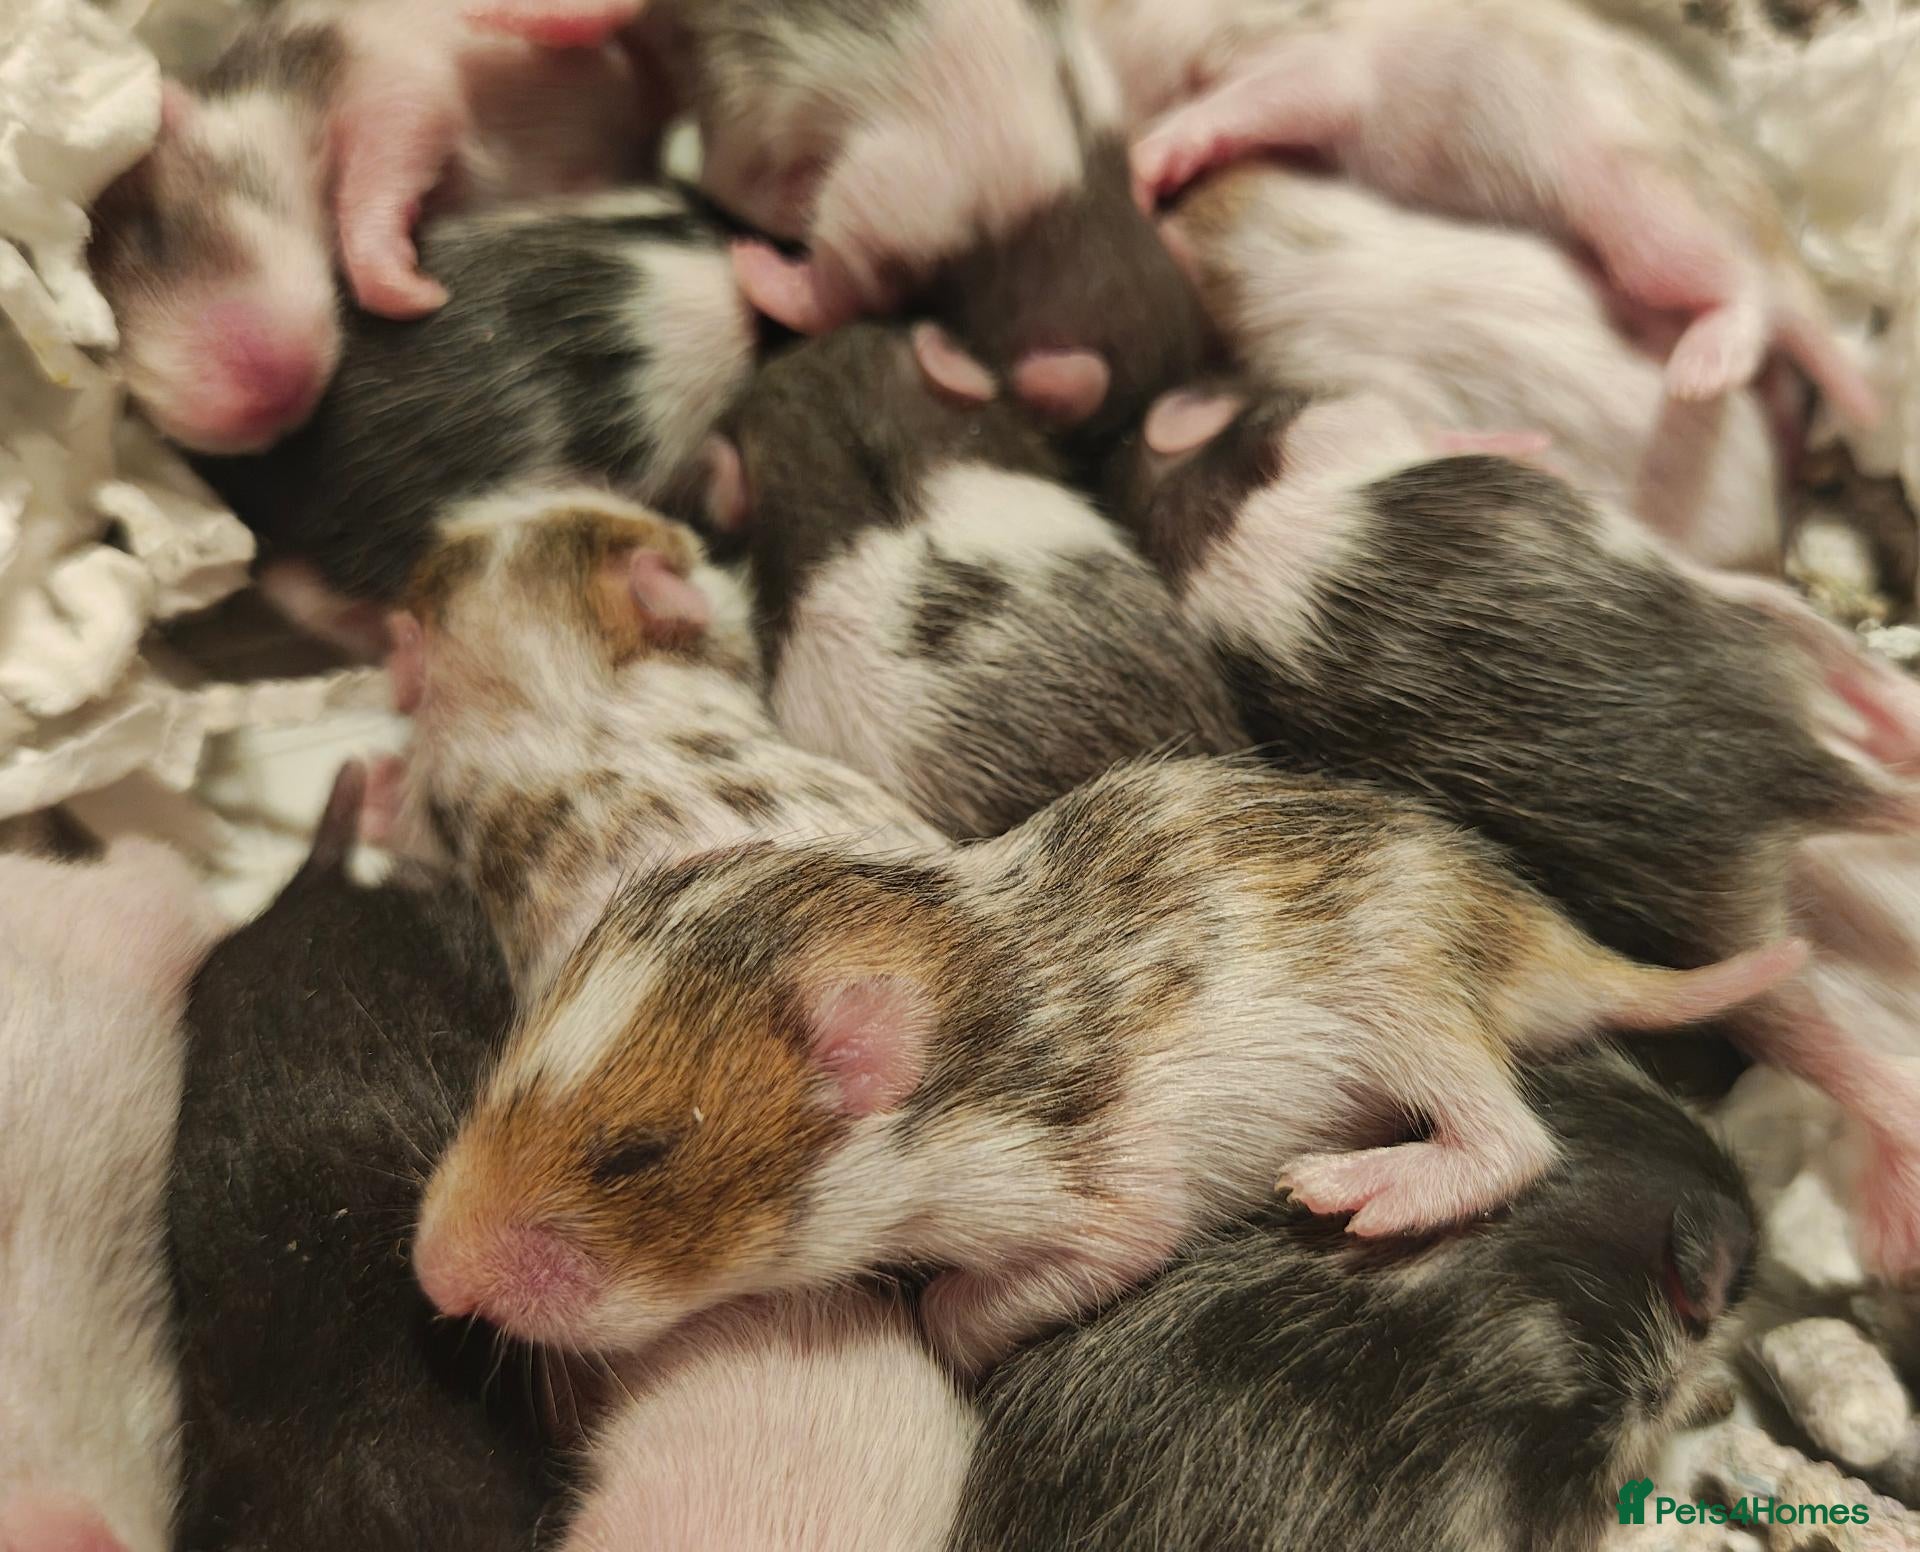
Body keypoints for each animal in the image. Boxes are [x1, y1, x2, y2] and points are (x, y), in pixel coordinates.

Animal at [86, 0, 655, 453]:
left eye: (153, 232)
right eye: (119, 392)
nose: (263, 404)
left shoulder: (370, 74)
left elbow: (391, 142)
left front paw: (398, 284)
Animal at [411, 756, 1796, 1378]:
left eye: (637, 1152)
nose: (433, 1275)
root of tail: (1524, 924)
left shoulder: (1068, 1180)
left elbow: (1084, 1255)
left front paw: (937, 1320)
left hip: (1409, 1002)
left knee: (1511, 1139)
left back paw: (1369, 1184)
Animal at [1108, 384, 1920, 1271]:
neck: (1185, 514)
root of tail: (1772, 780)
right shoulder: (1330, 424)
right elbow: (1400, 424)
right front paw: (1513, 438)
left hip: (1721, 902)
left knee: (1804, 1028)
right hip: (1745, 624)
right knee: (1831, 657)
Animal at [1117, 0, 1877, 423]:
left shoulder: (1307, 61)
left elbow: (1263, 96)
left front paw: (1150, 157)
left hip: (1646, 210)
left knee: (1746, 294)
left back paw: (1700, 367)